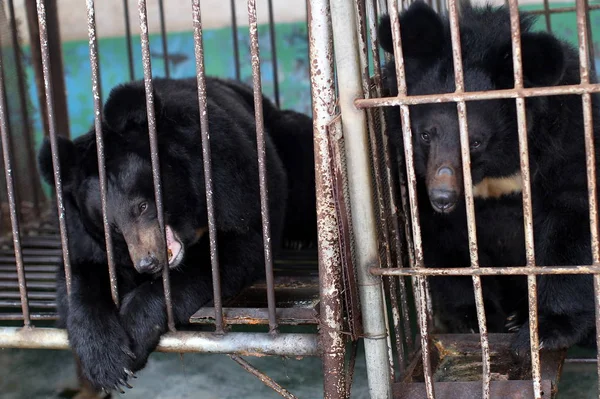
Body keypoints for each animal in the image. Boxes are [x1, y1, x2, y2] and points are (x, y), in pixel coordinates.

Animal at [37, 77, 300, 390]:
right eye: (113, 228)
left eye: (142, 206)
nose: (148, 263)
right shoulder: (80, 232)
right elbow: (80, 272)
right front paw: (106, 362)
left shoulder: (230, 178)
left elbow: (237, 248)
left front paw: (135, 334)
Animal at [380, 0, 600, 360]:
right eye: (425, 134)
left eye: (476, 141)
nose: (443, 198)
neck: (495, 173)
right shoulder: (418, 176)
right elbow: (444, 242)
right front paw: (477, 318)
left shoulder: (569, 144)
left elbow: (572, 225)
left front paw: (543, 331)